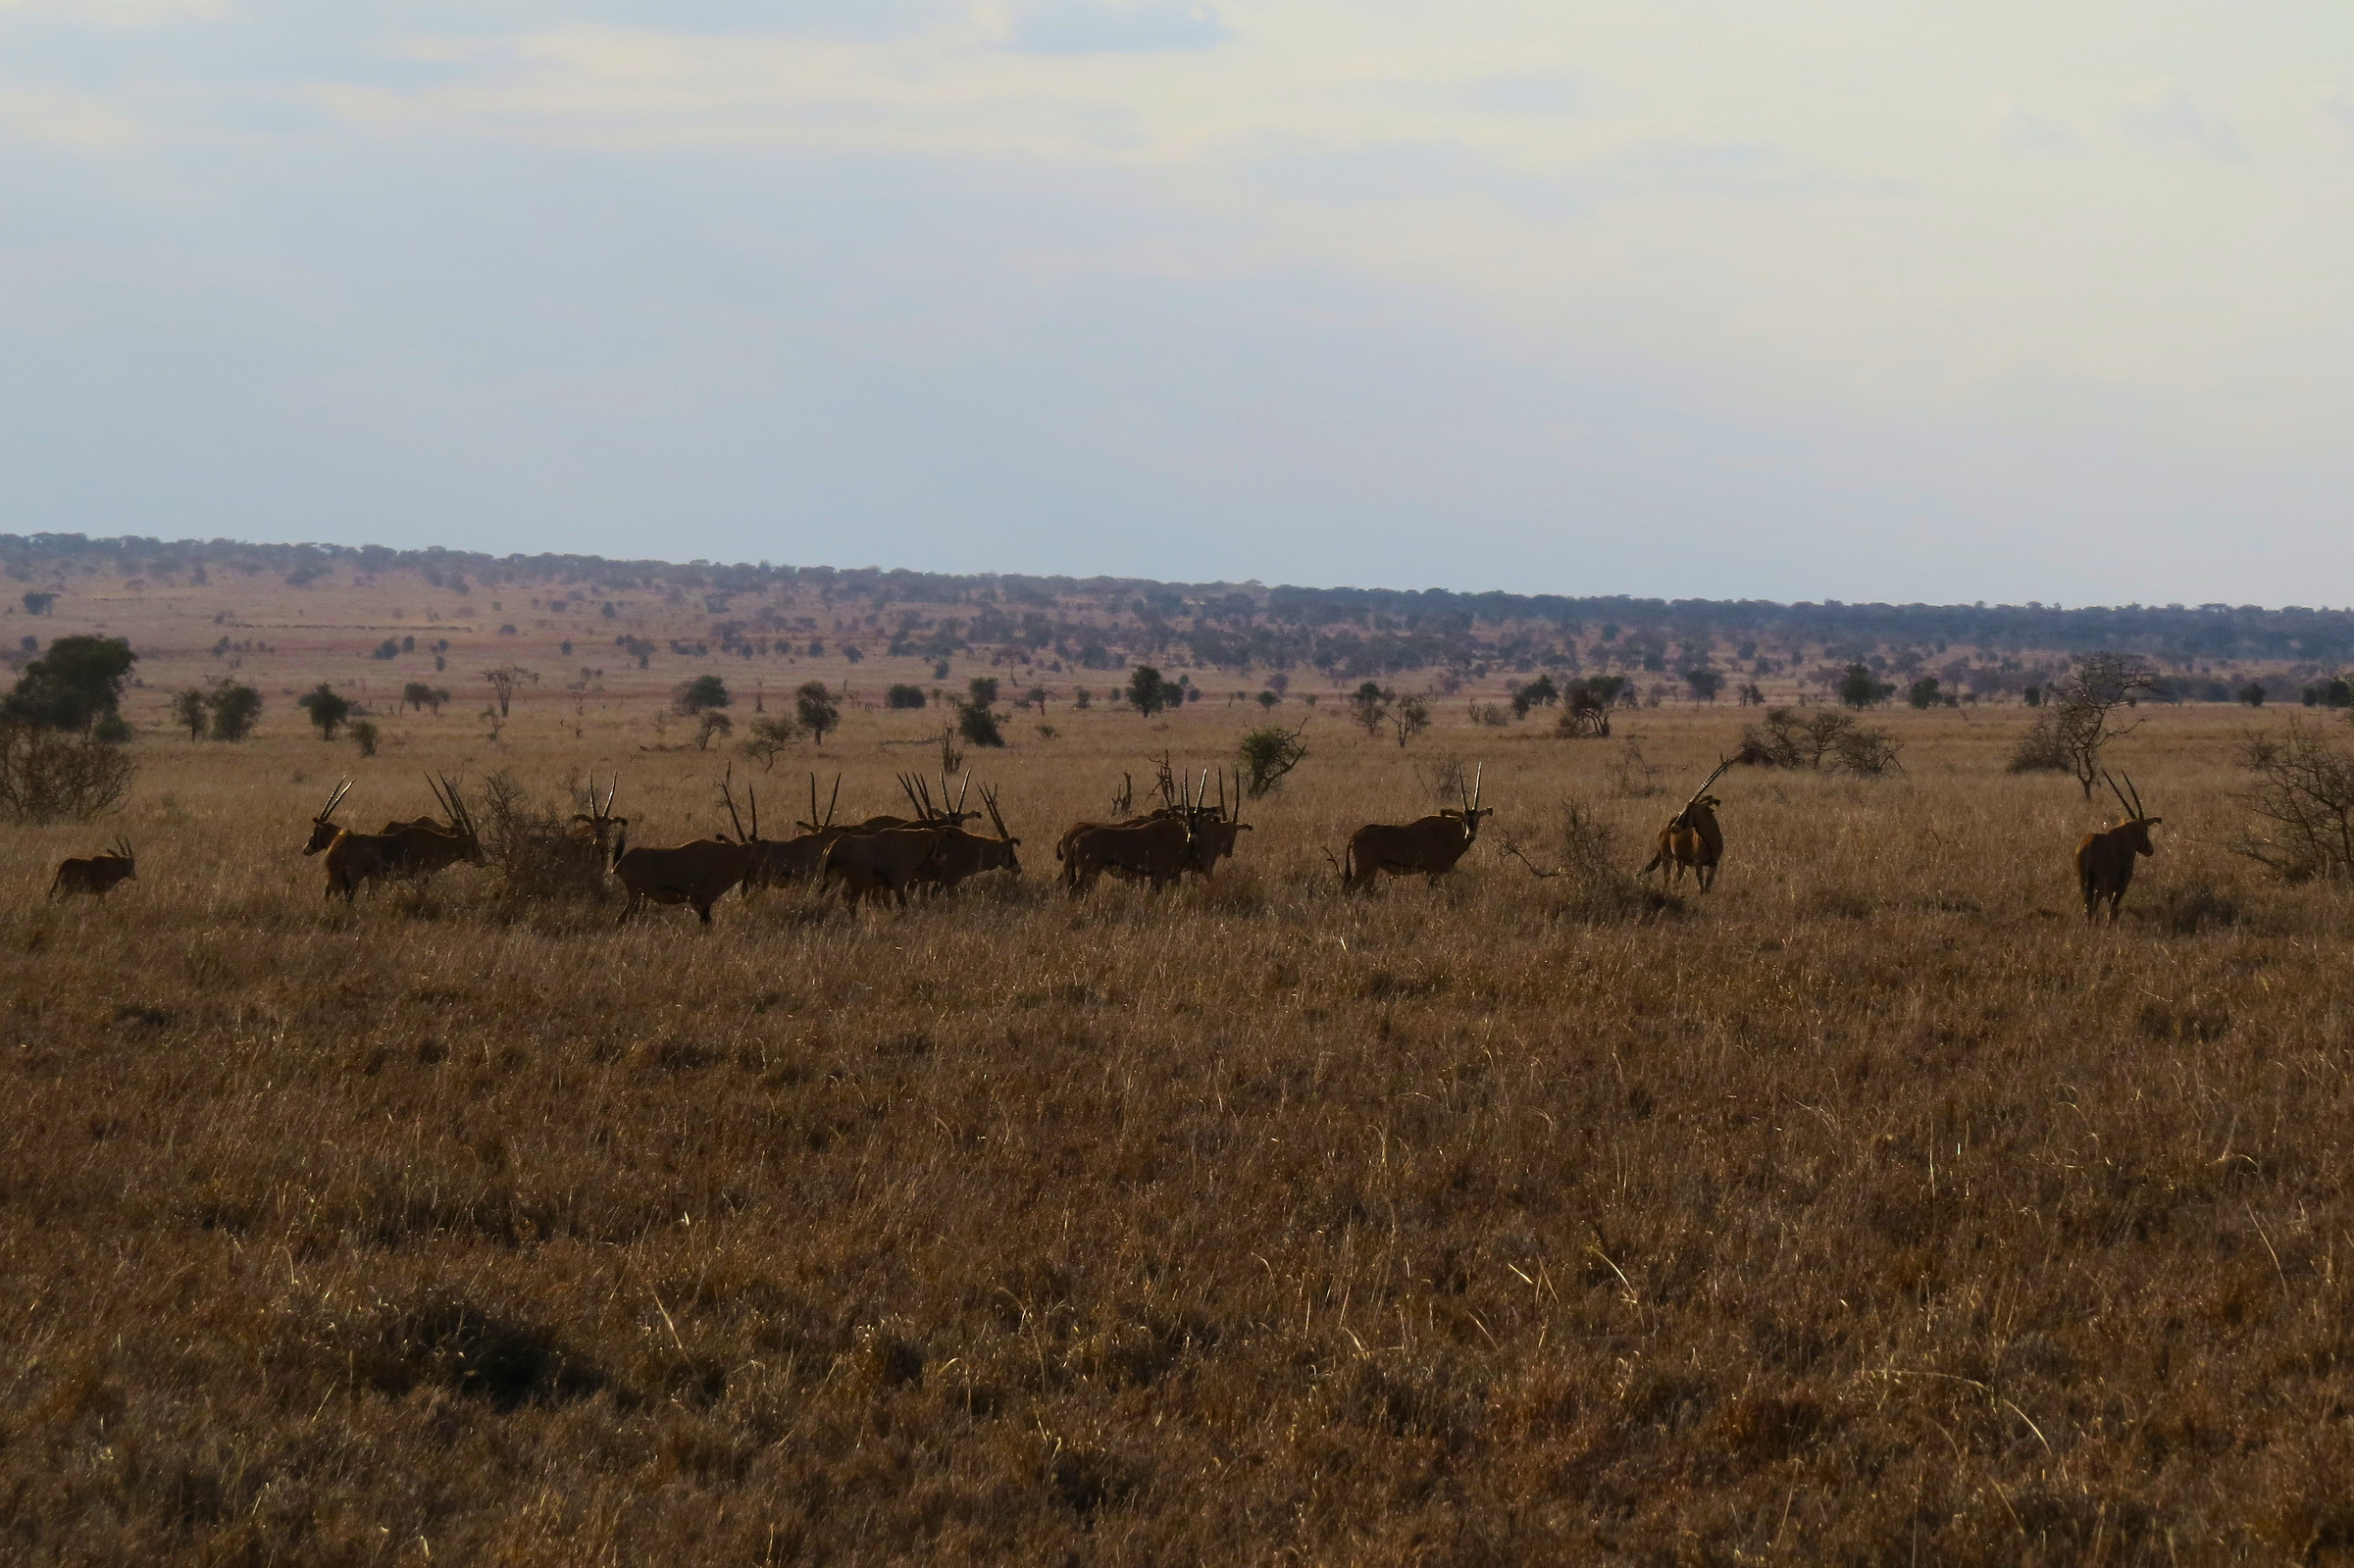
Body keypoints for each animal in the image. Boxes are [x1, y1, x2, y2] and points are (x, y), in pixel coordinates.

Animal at [608, 774, 759, 925]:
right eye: (754, 855)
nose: (754, 877)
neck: (727, 857)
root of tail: (619, 864)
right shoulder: (704, 901)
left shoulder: (696, 902)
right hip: (635, 894)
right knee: (621, 918)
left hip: (641, 896)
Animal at [1342, 766, 1490, 892]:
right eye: (1463, 818)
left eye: (1477, 818)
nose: (1470, 835)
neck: (1447, 833)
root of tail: (1354, 836)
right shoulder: (1431, 870)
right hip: (1364, 868)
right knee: (1350, 888)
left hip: (1373, 869)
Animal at [1641, 758, 1732, 892]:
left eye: (1688, 808)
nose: (1673, 828)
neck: (1710, 840)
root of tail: (1664, 827)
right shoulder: (1698, 865)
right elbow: (1701, 888)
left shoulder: (1714, 865)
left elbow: (1707, 888)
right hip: (1667, 857)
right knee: (1667, 880)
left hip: (1681, 862)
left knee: (1675, 881)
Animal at [2077, 771, 2162, 923]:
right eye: (2146, 830)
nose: (2150, 850)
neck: (2126, 835)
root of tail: (2089, 846)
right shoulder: (2120, 887)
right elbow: (2113, 910)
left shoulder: (2111, 890)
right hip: (2100, 886)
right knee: (2095, 905)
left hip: (2085, 885)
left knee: (2088, 906)